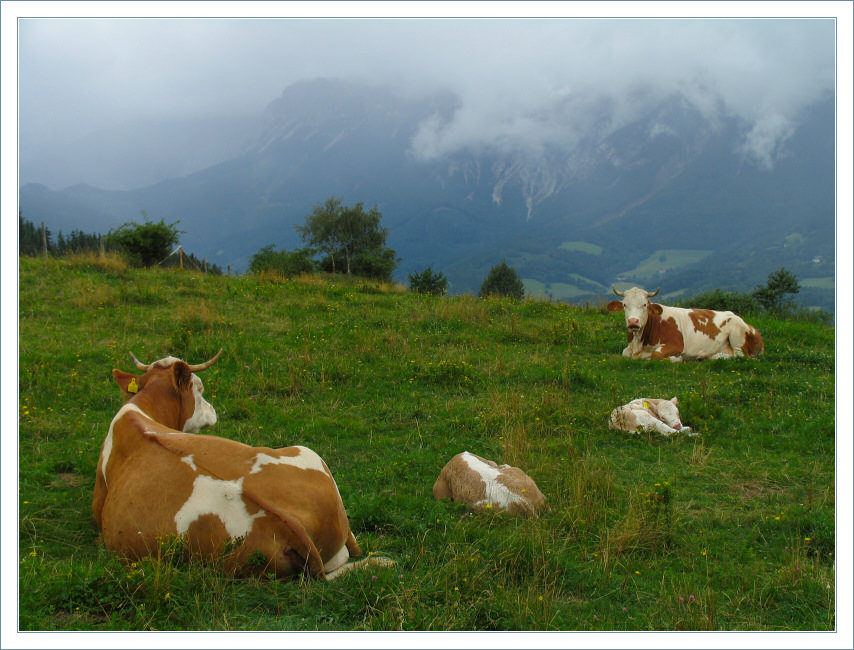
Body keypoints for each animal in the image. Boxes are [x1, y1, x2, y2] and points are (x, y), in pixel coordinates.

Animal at [604, 284, 764, 362]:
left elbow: (655, 355)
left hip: (737, 335)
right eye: (624, 305)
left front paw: (676, 358)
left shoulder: (676, 344)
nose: (633, 322)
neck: (640, 342)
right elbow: (625, 353)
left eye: (644, 305)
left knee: (741, 356)